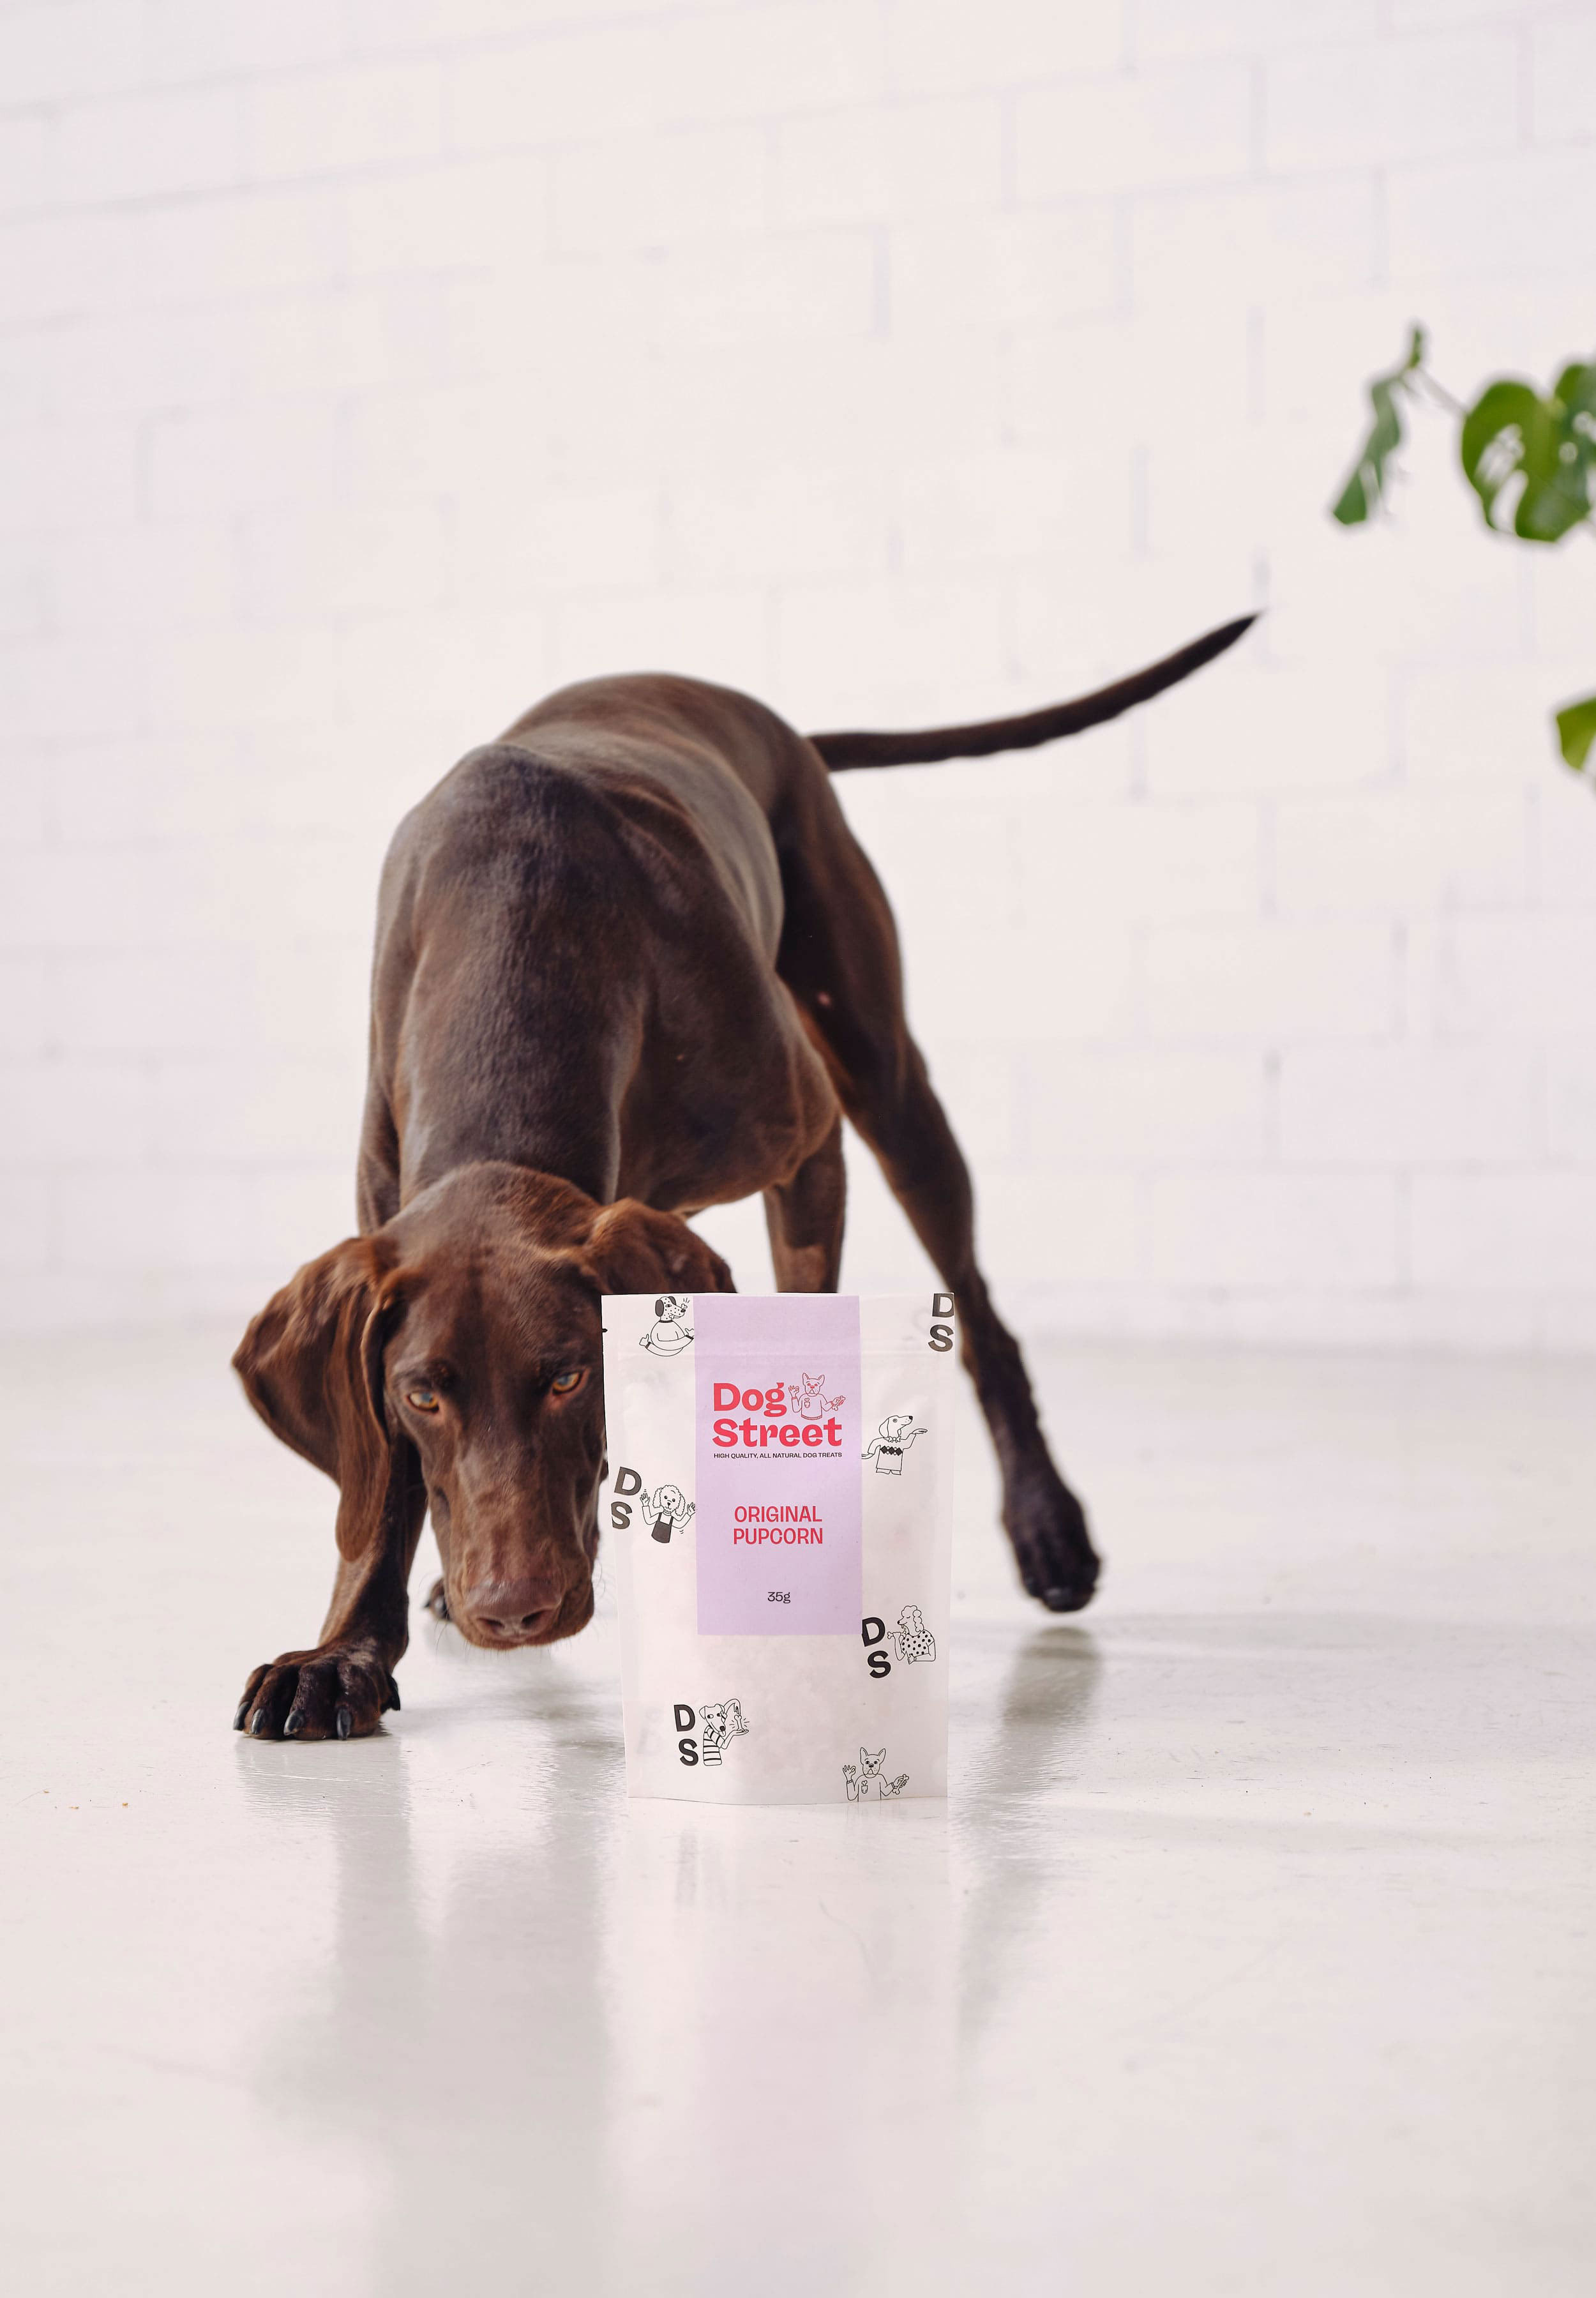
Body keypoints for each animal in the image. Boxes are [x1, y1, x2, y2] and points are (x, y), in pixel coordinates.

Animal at [234, 620, 1258, 1728]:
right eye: (421, 1393)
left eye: (567, 1375)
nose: (513, 1609)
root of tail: (771, 722)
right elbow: (381, 1493)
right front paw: (343, 1649)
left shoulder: (807, 1149)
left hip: (885, 1077)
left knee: (981, 1312)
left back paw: (1048, 1528)